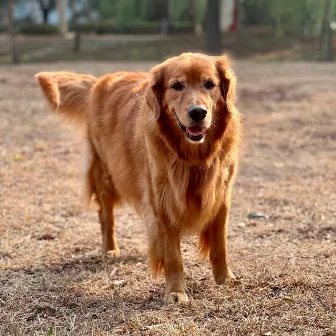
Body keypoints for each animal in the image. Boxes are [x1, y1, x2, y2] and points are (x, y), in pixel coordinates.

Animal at [36, 53, 242, 304]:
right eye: (177, 85)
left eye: (210, 84)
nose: (198, 112)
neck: (193, 157)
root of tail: (100, 81)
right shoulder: (162, 203)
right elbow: (173, 256)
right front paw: (176, 291)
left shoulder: (221, 197)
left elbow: (220, 245)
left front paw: (225, 278)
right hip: (105, 175)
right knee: (106, 218)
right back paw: (110, 250)